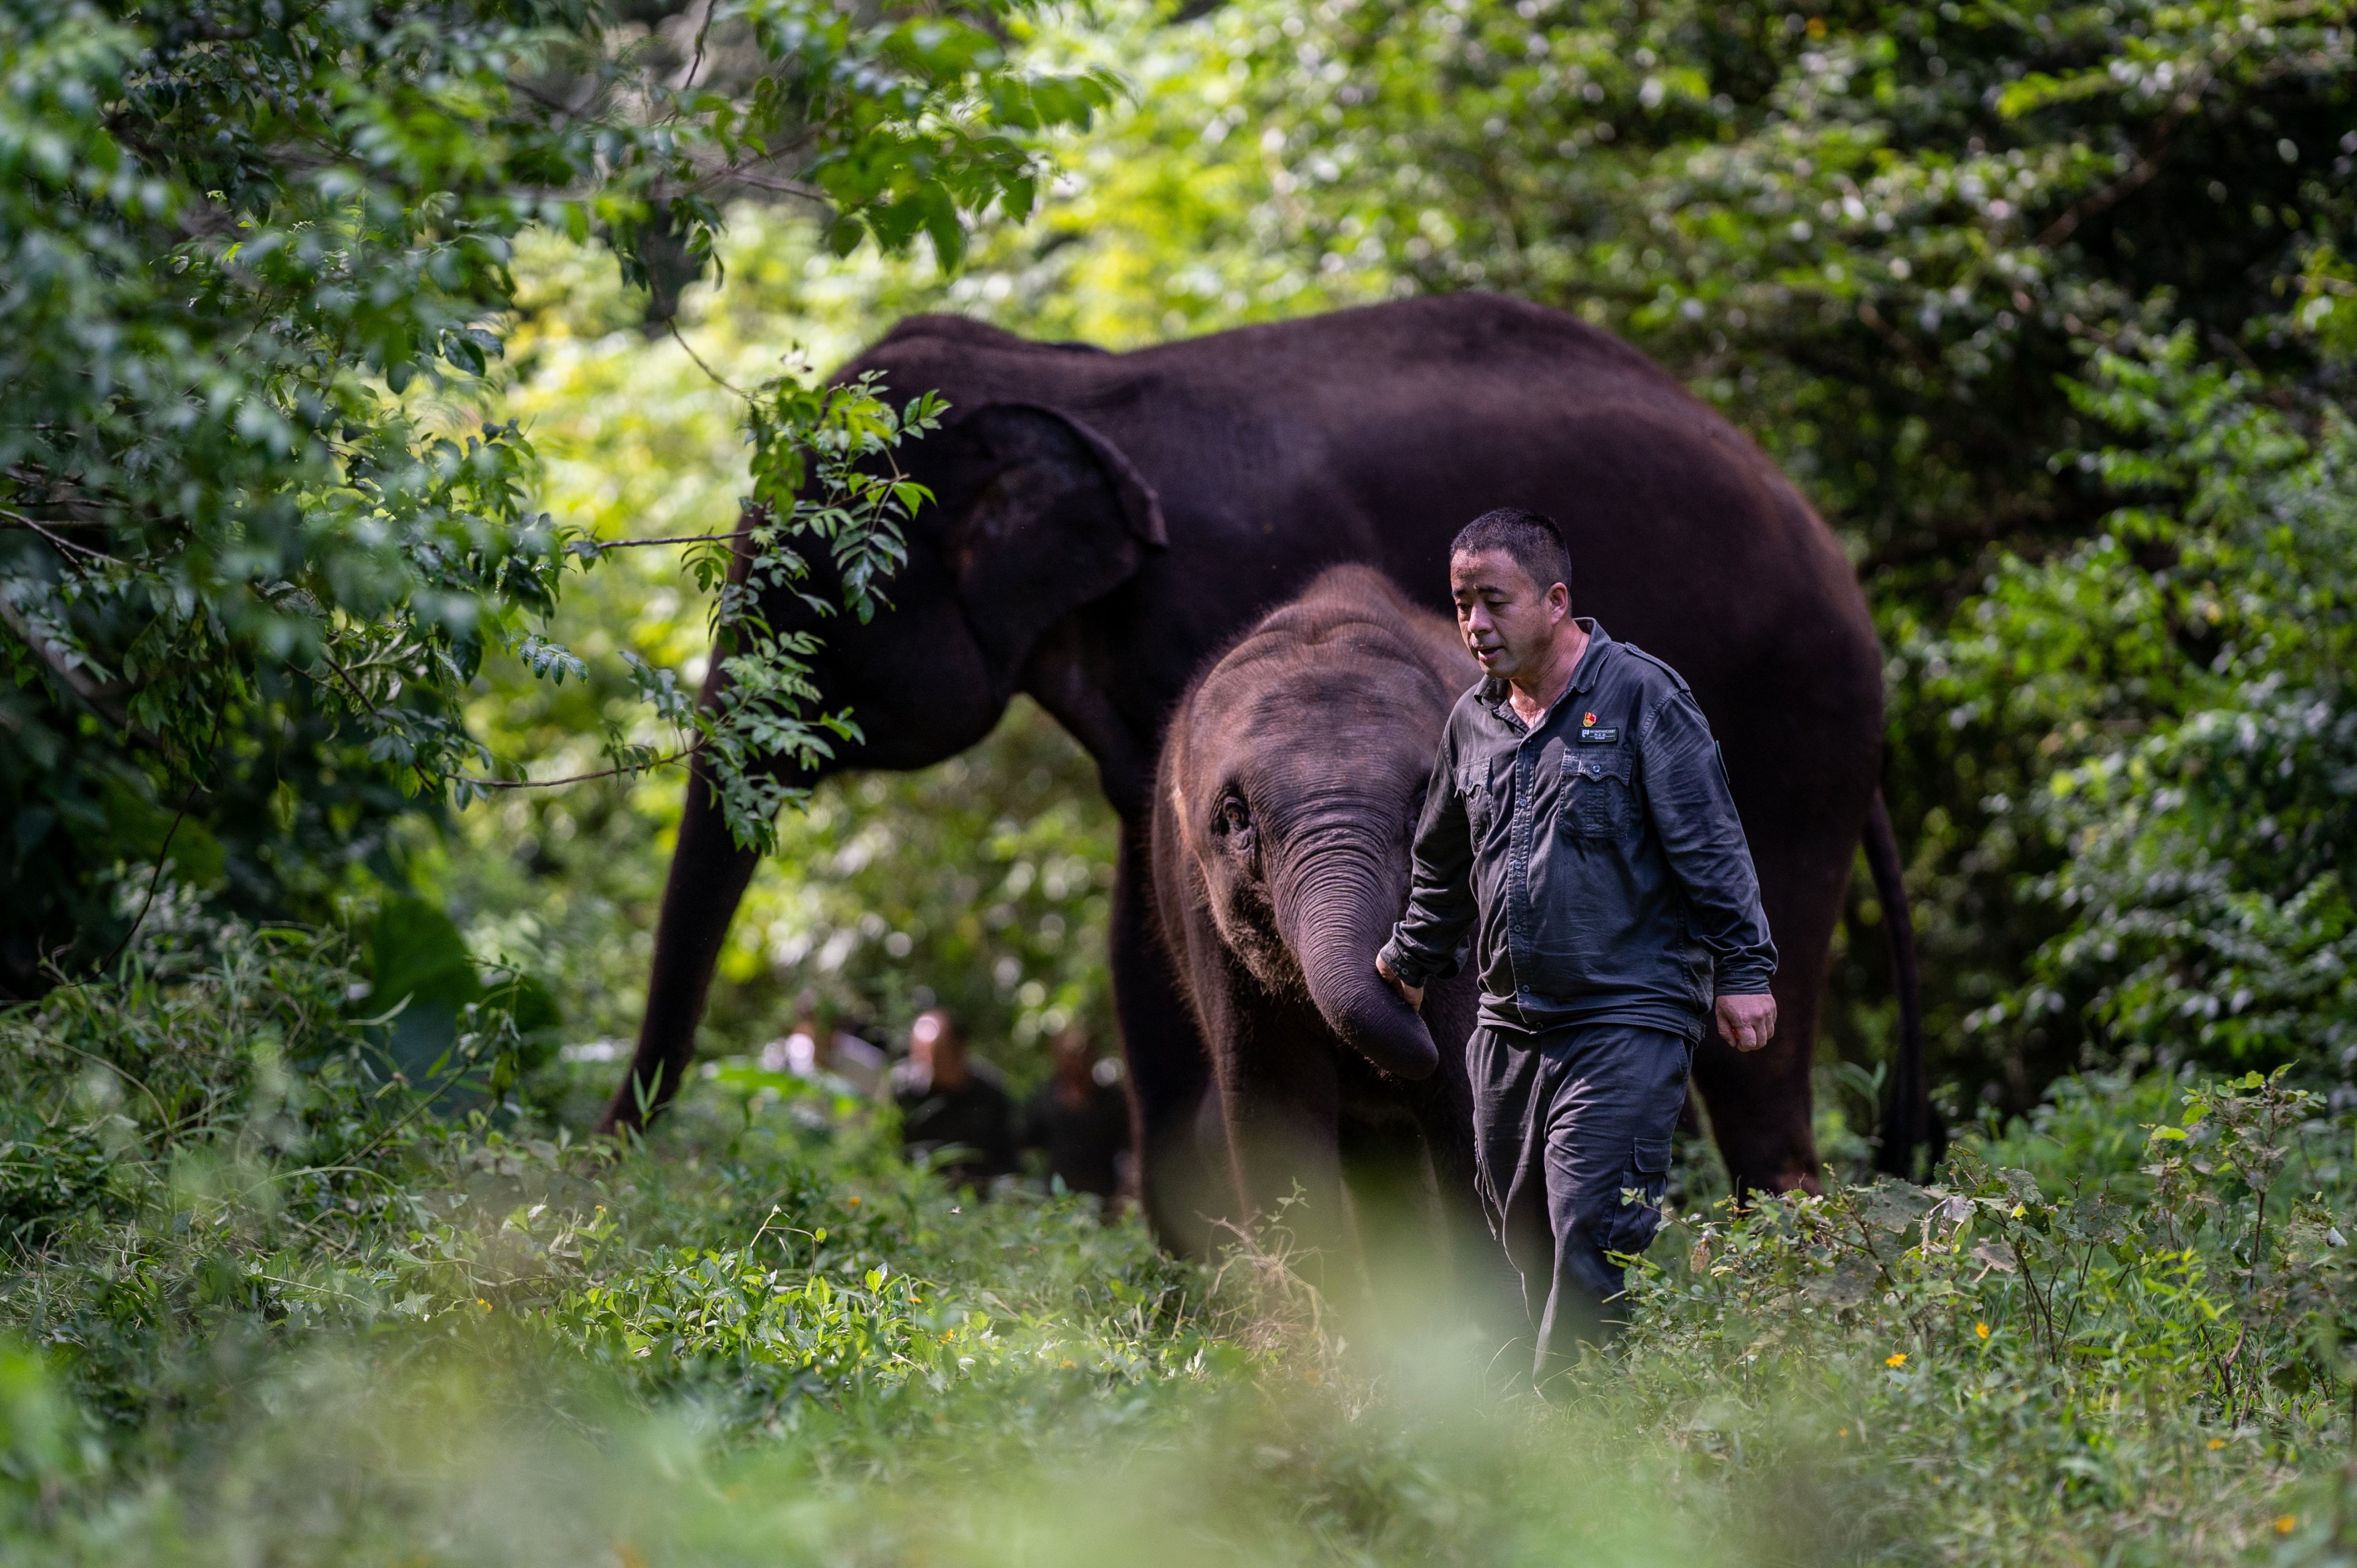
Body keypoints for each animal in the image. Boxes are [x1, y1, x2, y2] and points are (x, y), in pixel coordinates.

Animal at [1145, 568, 1480, 1283]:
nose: (1401, 980)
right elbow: (1276, 1118)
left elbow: (1468, 1098)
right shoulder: (1205, 923)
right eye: (1234, 816)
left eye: (1424, 801)